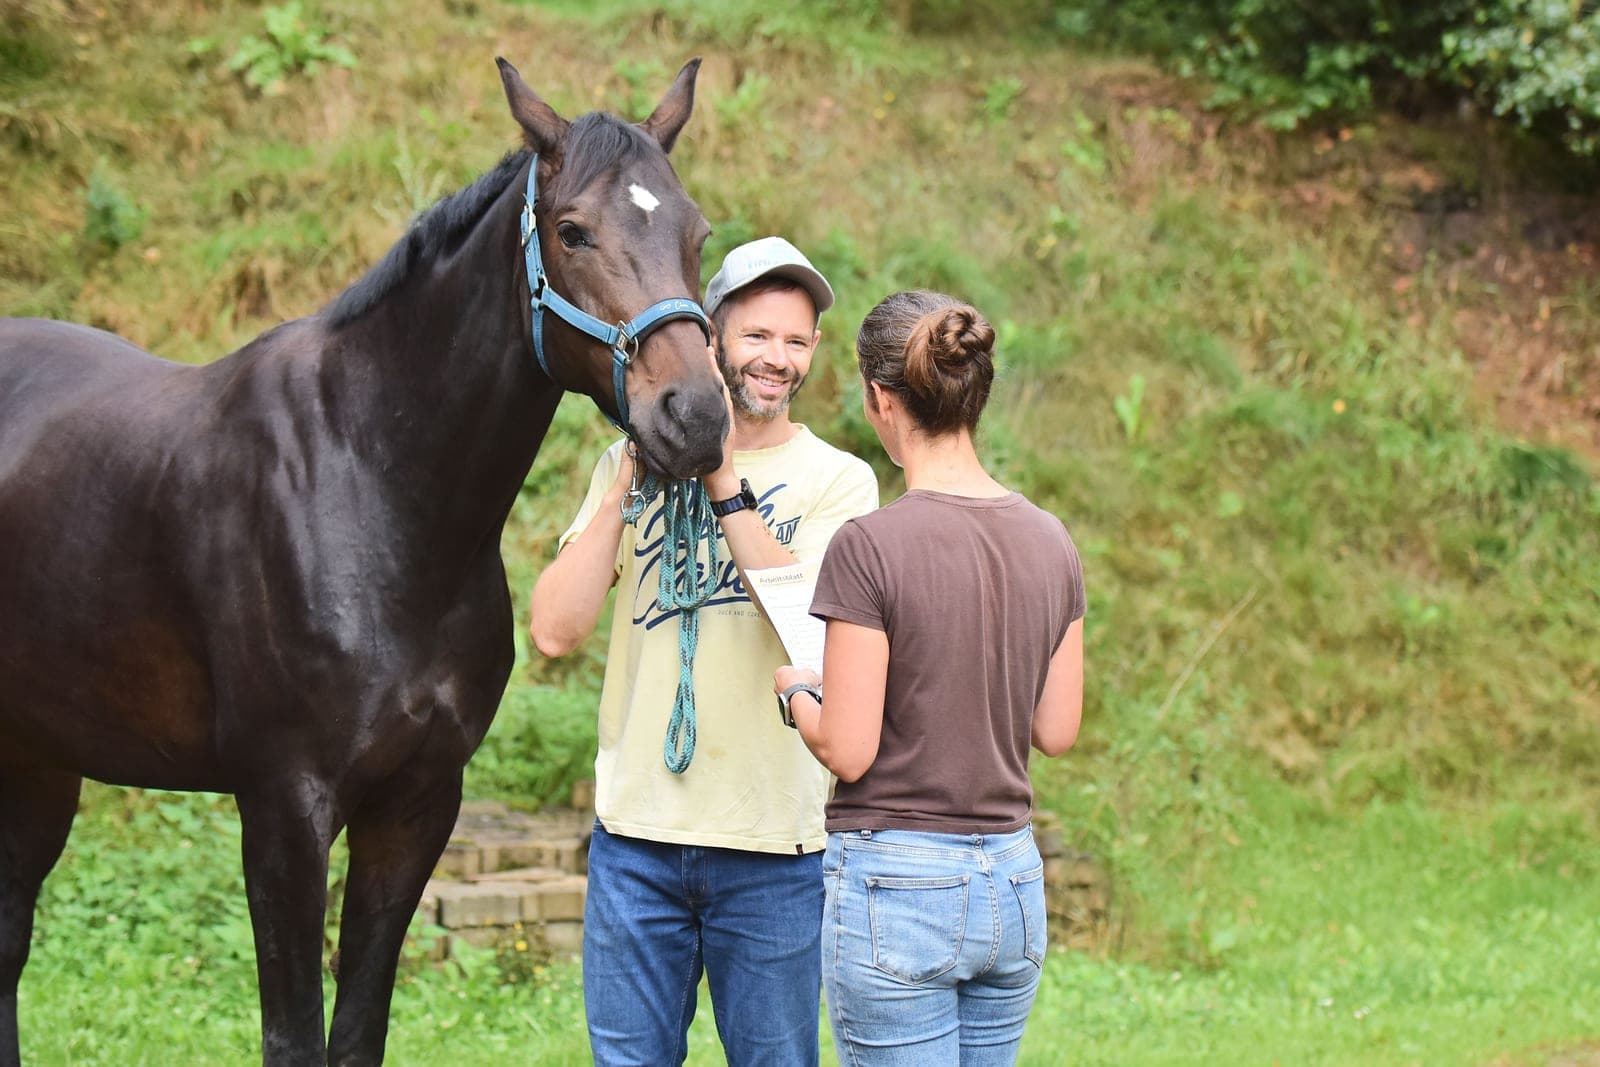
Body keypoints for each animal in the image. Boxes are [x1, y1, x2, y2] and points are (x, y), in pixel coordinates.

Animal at [0, 56, 726, 1066]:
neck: (372, 484)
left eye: (697, 232)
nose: (696, 417)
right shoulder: (284, 810)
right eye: (573, 229)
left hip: (40, 759)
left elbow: (357, 1030)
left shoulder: (415, 808)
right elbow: (294, 1034)